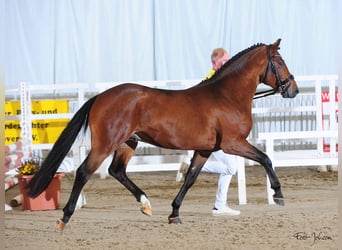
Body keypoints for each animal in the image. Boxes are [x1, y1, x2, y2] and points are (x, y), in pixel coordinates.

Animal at [27, 38, 300, 229]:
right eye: (280, 61)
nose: (293, 90)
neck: (226, 96)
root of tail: (101, 97)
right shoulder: (233, 143)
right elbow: (266, 158)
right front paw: (278, 194)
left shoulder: (205, 149)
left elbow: (190, 178)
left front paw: (174, 214)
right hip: (106, 143)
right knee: (85, 171)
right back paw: (65, 218)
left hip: (128, 143)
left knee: (117, 171)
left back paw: (146, 205)